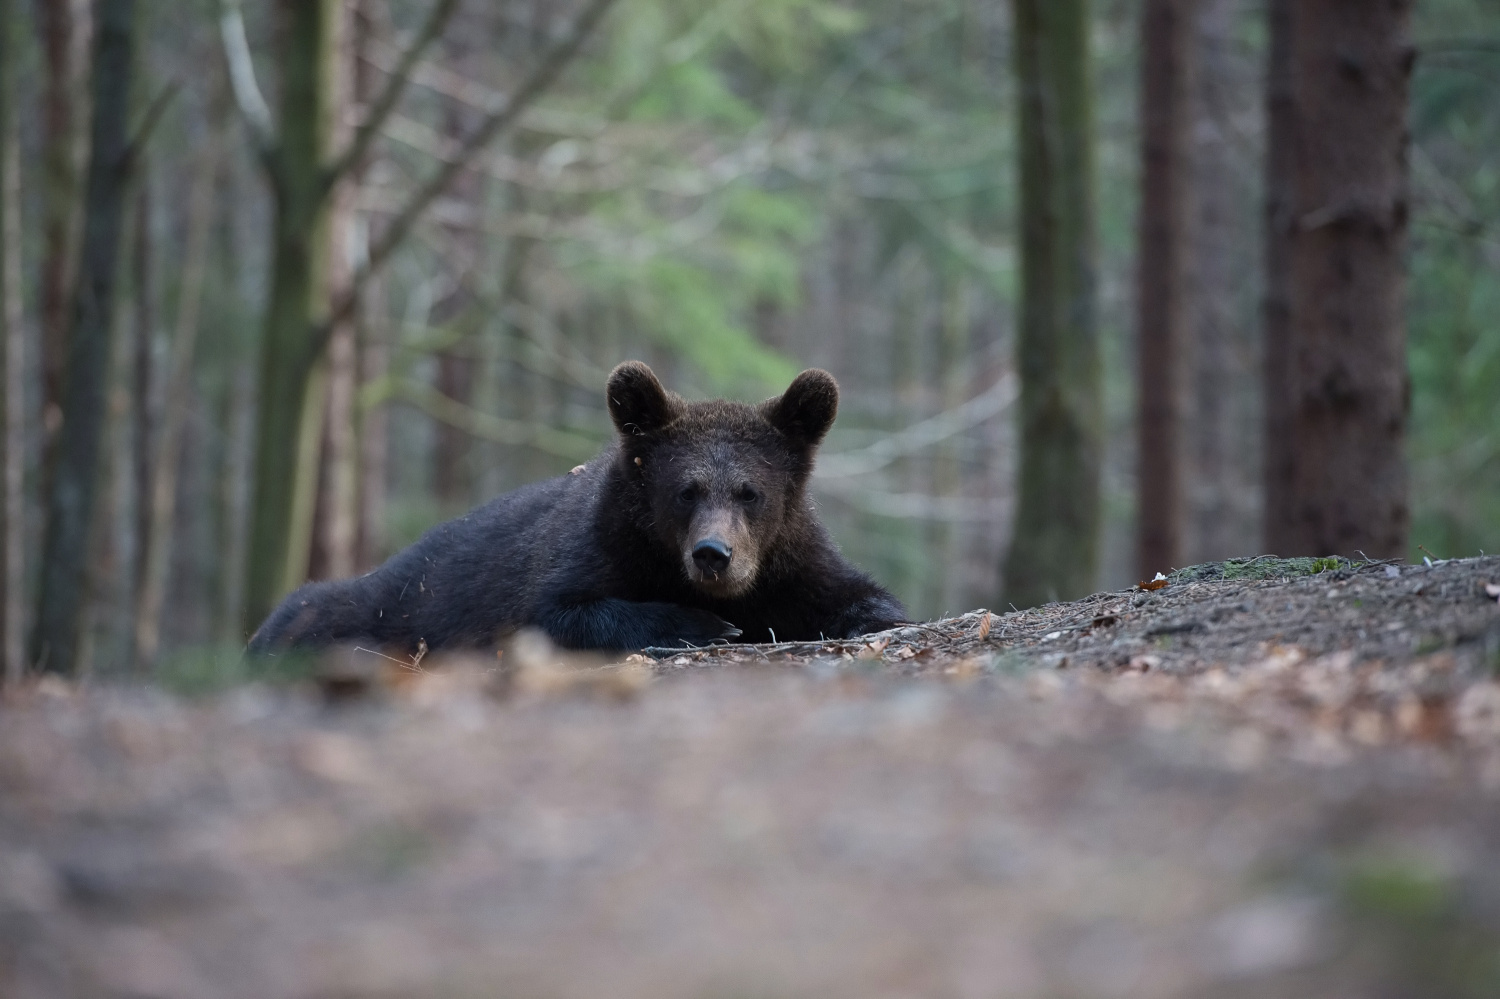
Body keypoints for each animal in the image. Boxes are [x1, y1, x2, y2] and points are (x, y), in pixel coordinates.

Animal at [249, 360, 900, 654]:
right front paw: (704, 624)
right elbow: (559, 610)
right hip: (381, 604)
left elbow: (854, 595)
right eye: (685, 490)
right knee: (316, 609)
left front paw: (868, 618)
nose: (714, 555)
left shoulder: (794, 558)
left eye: (751, 491)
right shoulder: (598, 547)